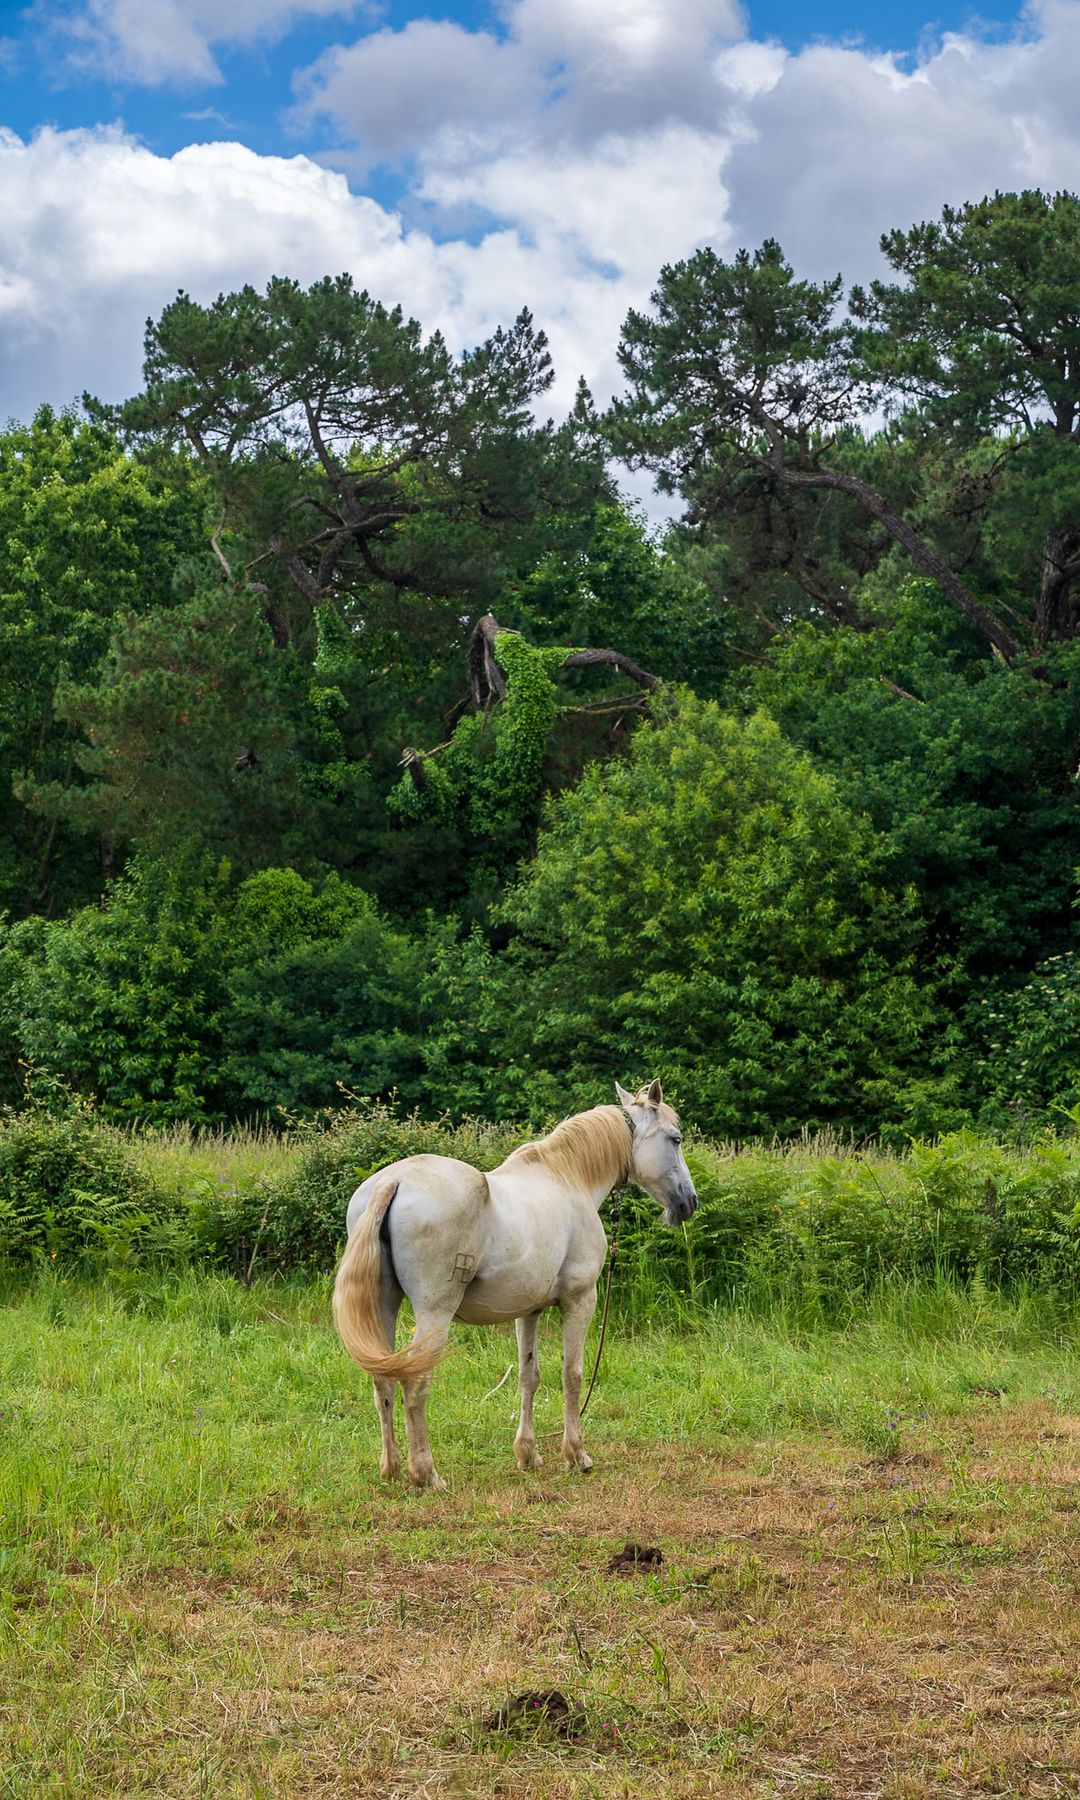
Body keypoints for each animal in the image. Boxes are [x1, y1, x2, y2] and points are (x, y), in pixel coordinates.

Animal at [332, 1079, 698, 1489]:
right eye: (675, 1139)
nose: (689, 1202)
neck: (567, 1179)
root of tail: (393, 1181)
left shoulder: (529, 1311)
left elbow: (529, 1377)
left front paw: (528, 1455)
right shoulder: (580, 1300)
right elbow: (572, 1374)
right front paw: (577, 1455)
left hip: (385, 1308)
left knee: (384, 1383)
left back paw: (392, 1469)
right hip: (433, 1313)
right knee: (415, 1384)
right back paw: (427, 1475)